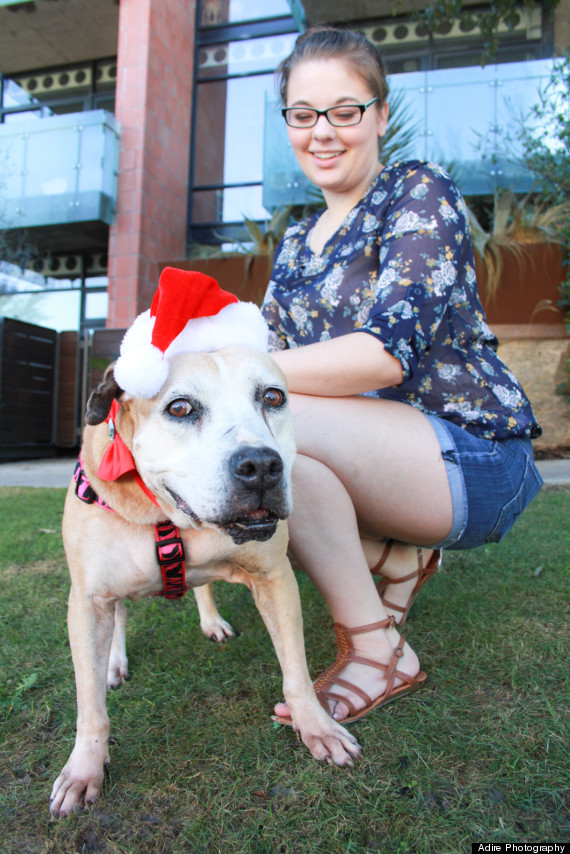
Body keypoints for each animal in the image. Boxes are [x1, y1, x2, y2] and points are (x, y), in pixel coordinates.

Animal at [50, 350, 360, 824]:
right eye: (180, 408)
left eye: (273, 397)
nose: (261, 466)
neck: (169, 516)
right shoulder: (88, 602)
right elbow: (90, 706)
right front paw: (84, 769)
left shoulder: (274, 579)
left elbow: (296, 672)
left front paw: (316, 726)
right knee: (120, 616)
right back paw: (115, 662)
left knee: (203, 587)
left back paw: (211, 621)